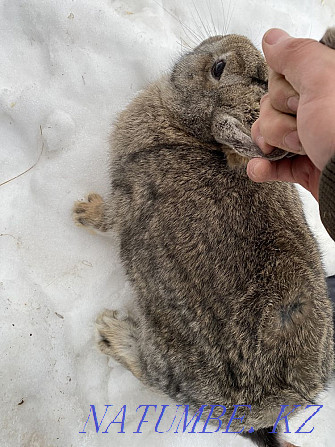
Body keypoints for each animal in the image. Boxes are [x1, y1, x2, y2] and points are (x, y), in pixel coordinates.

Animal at [74, 28, 335, 447]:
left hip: (172, 355)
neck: (192, 135)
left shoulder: (130, 194)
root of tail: (267, 407)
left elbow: (109, 218)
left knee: (152, 372)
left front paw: (83, 211)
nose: (238, 38)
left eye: (217, 68)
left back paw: (112, 333)